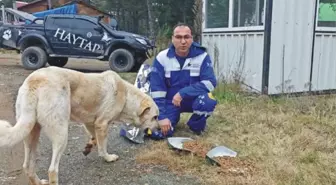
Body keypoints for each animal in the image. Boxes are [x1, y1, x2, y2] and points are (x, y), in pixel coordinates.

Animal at [0, 66, 159, 185]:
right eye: (155, 117)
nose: (160, 129)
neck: (126, 95)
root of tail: (35, 81)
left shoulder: (90, 123)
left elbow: (95, 139)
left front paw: (89, 146)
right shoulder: (102, 124)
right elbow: (102, 147)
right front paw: (108, 158)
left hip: (31, 133)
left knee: (28, 167)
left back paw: (39, 182)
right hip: (61, 134)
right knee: (52, 170)